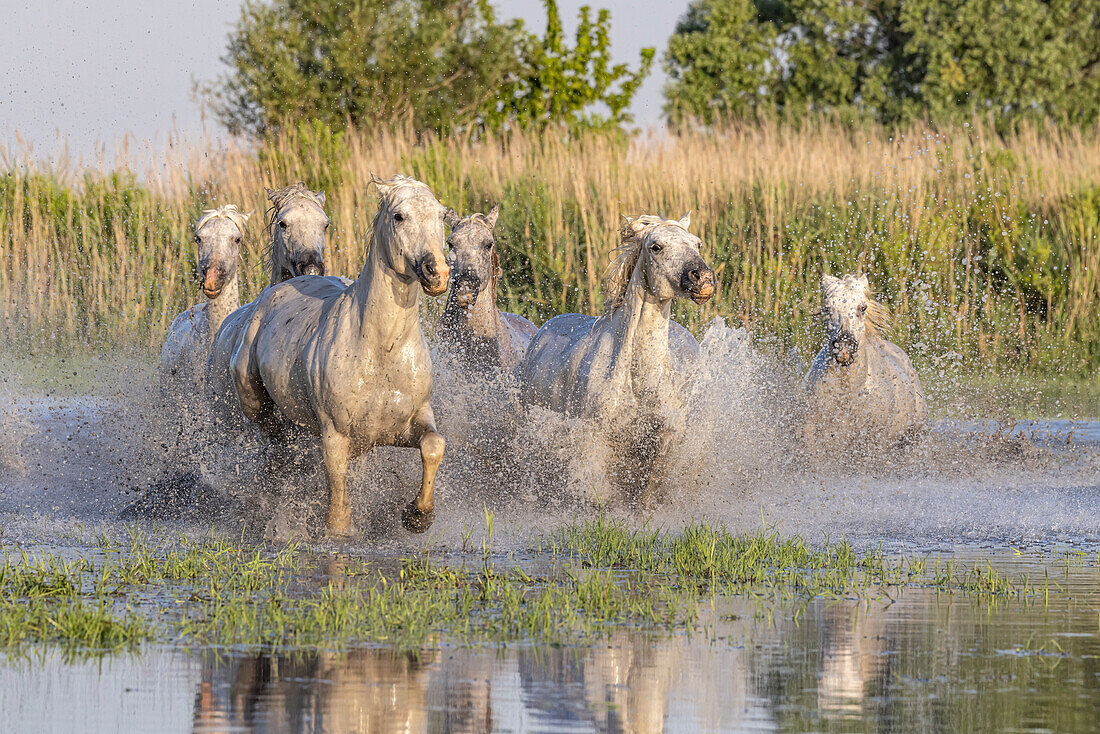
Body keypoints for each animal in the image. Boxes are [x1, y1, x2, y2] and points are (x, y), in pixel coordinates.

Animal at [225, 174, 448, 537]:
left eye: (442, 215)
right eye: (399, 216)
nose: (437, 273)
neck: (381, 350)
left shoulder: (407, 424)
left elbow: (433, 445)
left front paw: (417, 515)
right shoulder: (335, 435)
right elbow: (338, 503)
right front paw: (337, 530)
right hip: (256, 404)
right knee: (276, 445)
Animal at [519, 212, 717, 506]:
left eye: (697, 244)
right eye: (656, 246)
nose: (703, 279)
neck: (637, 377)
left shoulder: (666, 436)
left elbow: (648, 490)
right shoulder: (596, 439)